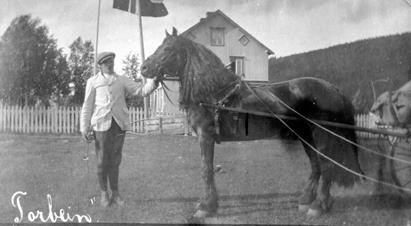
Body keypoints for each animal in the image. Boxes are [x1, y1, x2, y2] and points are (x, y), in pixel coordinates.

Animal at [141, 27, 364, 220]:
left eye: (168, 49)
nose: (144, 68)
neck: (213, 93)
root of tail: (333, 89)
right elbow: (208, 169)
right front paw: (209, 204)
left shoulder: (206, 136)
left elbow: (206, 170)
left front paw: (206, 207)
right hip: (306, 136)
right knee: (316, 166)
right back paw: (307, 200)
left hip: (321, 135)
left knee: (326, 166)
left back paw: (318, 205)